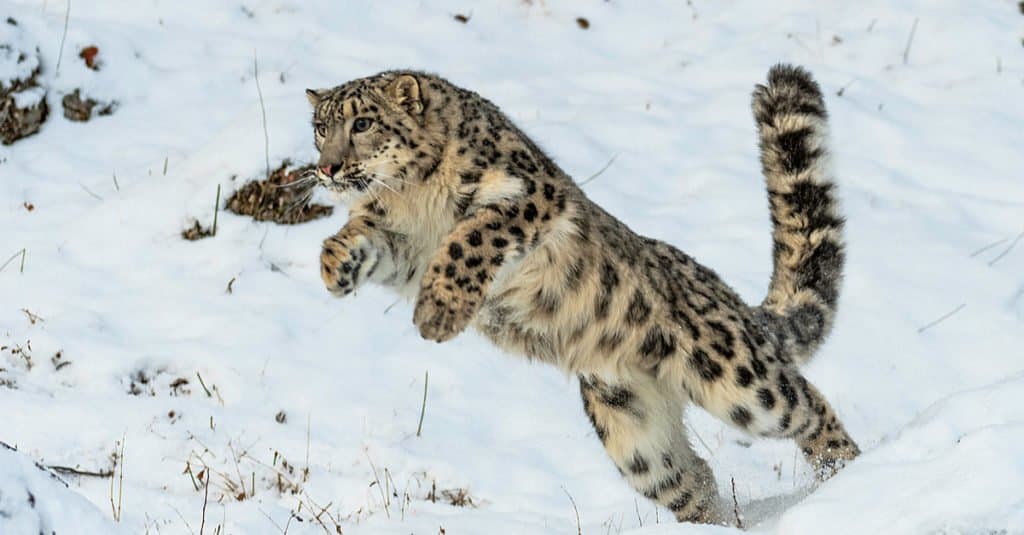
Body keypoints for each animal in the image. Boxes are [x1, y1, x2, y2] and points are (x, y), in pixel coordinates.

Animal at [303, 65, 856, 520]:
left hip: (738, 377)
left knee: (807, 405)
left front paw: (437, 314)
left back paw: (845, 478)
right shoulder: (399, 242)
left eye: (362, 124)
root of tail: (728, 297)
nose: (328, 168)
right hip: (637, 439)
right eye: (320, 129)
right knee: (692, 481)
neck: (411, 198)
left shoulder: (527, 197)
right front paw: (336, 268)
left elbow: (470, 239)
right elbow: (357, 237)